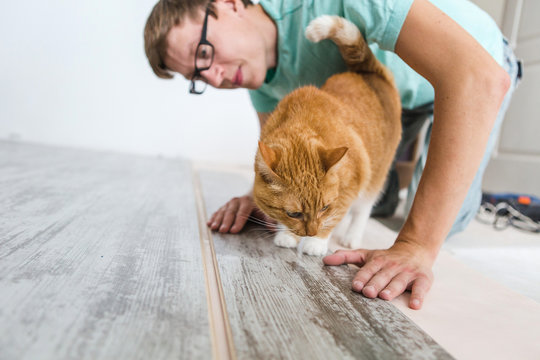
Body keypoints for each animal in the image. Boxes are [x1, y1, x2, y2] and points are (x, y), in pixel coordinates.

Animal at [253, 14, 400, 256]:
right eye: (294, 213)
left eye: (324, 207)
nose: (311, 232)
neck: (303, 121)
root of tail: (370, 73)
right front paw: (289, 235)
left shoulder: (352, 184)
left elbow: (338, 213)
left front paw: (316, 243)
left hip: (375, 176)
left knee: (363, 209)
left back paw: (351, 237)